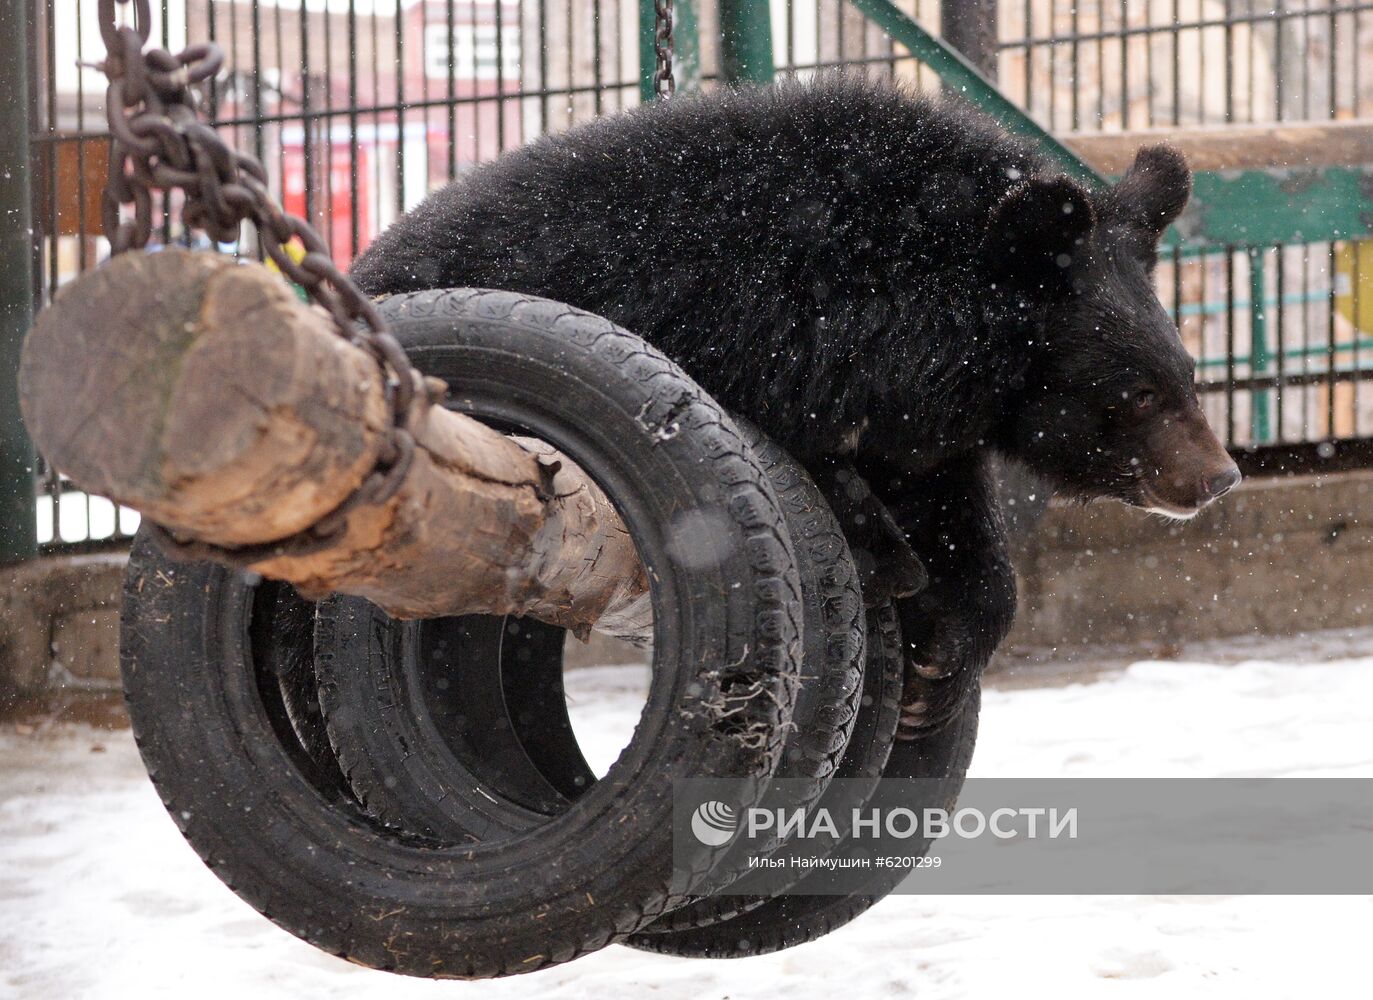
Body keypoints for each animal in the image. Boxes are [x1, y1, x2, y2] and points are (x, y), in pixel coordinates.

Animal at [354, 74, 1246, 736]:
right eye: (1136, 392)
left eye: (1185, 372)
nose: (1216, 478)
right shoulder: (735, 320)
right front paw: (888, 559)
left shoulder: (917, 422)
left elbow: (950, 512)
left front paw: (937, 664)